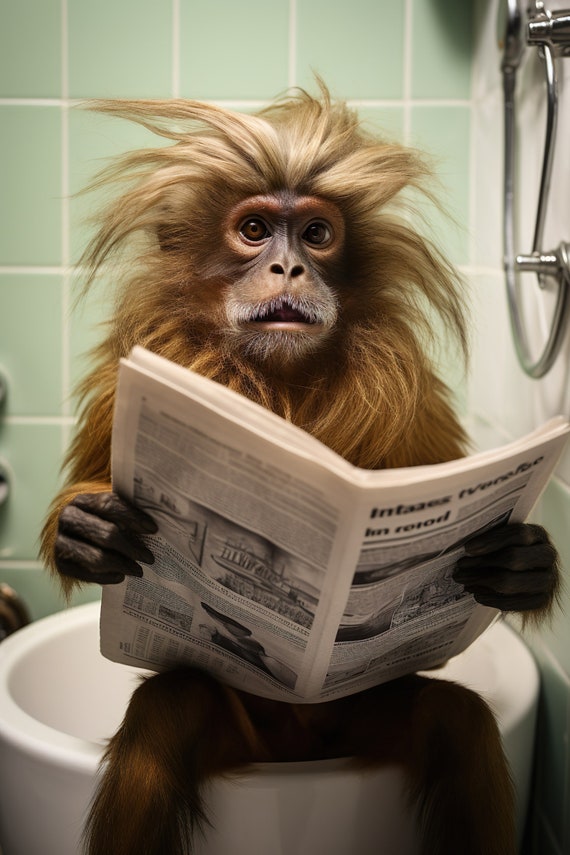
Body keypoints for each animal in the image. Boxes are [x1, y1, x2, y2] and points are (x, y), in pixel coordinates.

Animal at [40, 84, 559, 855]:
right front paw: (88, 532)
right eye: (255, 229)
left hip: (356, 722)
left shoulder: (414, 401)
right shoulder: (123, 377)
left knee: (456, 722)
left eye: (316, 234)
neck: (278, 384)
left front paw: (522, 565)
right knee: (169, 709)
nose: (289, 268)